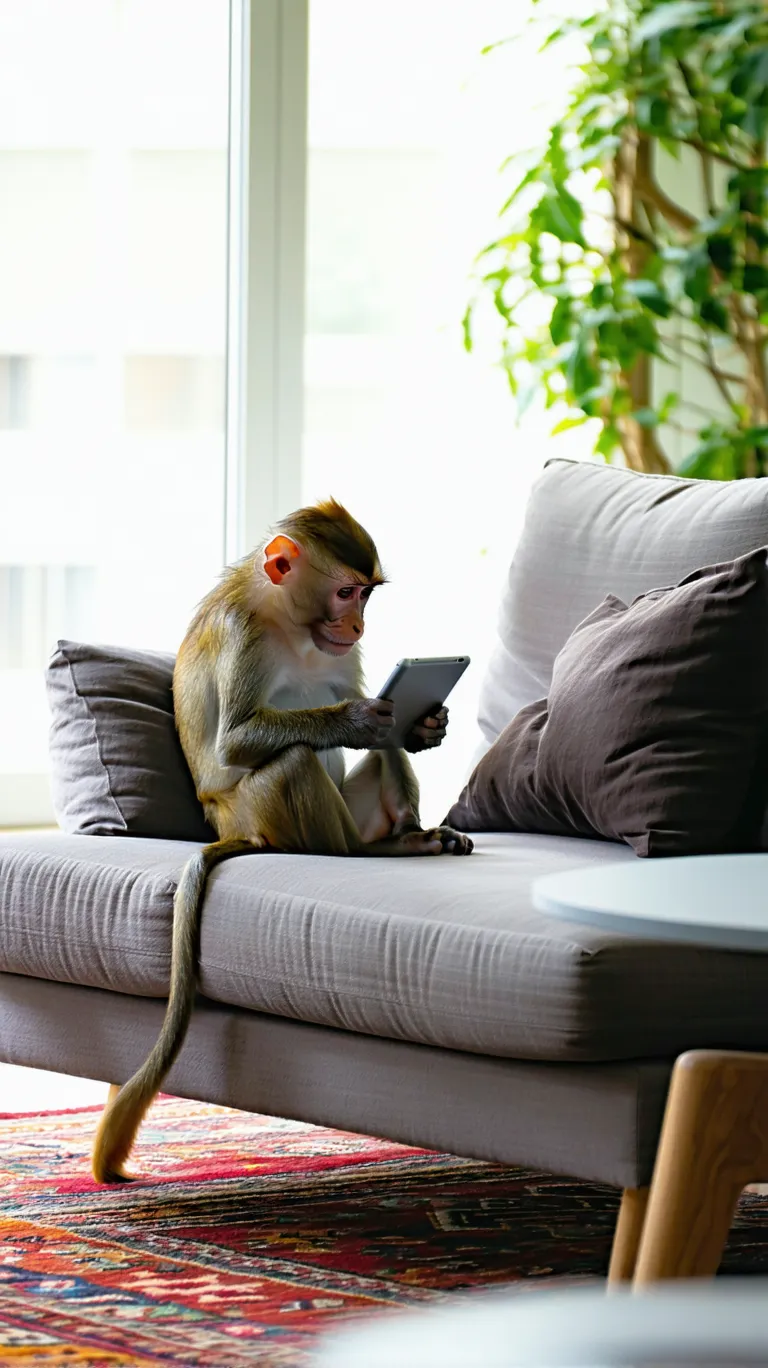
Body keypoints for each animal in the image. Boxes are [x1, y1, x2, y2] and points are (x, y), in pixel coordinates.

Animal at [92, 497, 470, 1181]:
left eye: (368, 595)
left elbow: (387, 725)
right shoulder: (242, 632)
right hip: (266, 815)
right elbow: (239, 739)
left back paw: (413, 836)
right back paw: (365, 853)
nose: (358, 625)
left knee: (381, 756)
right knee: (292, 761)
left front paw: (427, 723)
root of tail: (242, 832)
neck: (287, 621)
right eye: (347, 592)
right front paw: (354, 719)